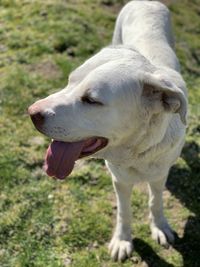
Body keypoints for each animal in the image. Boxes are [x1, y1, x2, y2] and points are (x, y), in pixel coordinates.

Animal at [28, 0, 188, 262]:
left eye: (91, 100)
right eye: (69, 82)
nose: (31, 113)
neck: (136, 151)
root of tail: (145, 1)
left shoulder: (158, 175)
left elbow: (155, 201)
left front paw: (160, 226)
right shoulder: (119, 180)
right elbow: (124, 211)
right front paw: (123, 240)